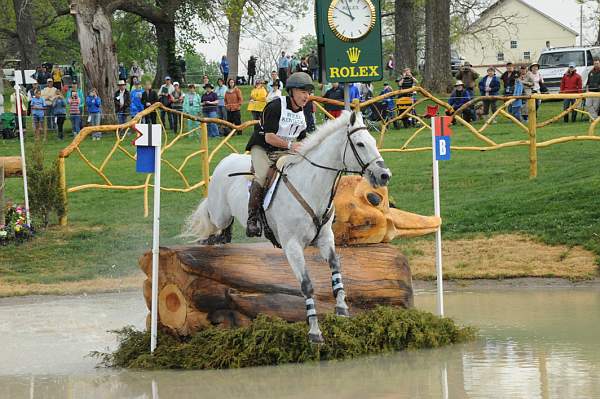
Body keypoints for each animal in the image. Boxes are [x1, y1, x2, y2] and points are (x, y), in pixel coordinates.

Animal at [183, 110, 392, 344]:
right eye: (360, 144)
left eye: (372, 141)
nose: (385, 175)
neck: (312, 186)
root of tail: (225, 160)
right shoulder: (292, 245)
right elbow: (307, 286)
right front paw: (314, 332)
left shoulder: (325, 238)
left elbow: (336, 269)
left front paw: (342, 310)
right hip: (220, 212)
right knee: (212, 218)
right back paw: (207, 239)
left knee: (223, 232)